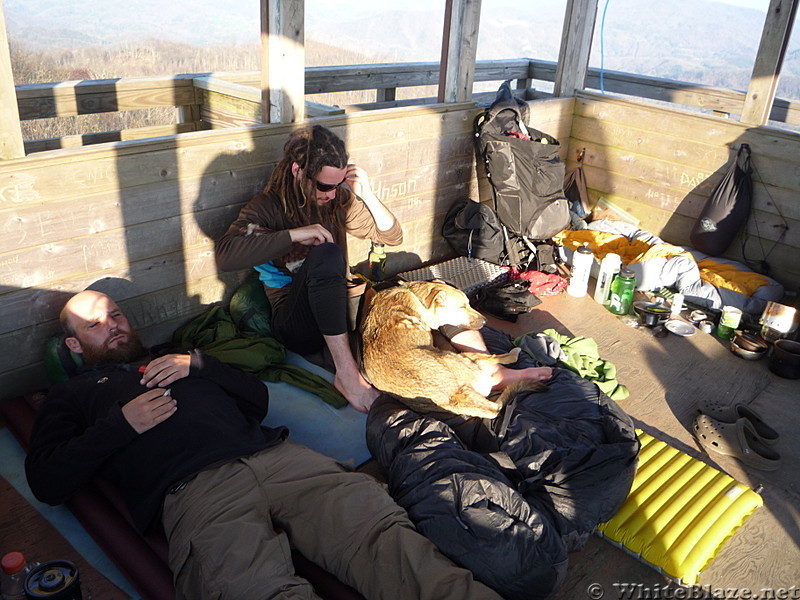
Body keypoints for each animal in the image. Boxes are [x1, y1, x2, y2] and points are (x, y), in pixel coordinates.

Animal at [364, 280, 544, 418]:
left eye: (469, 304)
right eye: (462, 307)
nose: (486, 321)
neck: (415, 297)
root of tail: (454, 396)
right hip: (457, 355)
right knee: (496, 358)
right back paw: (515, 355)